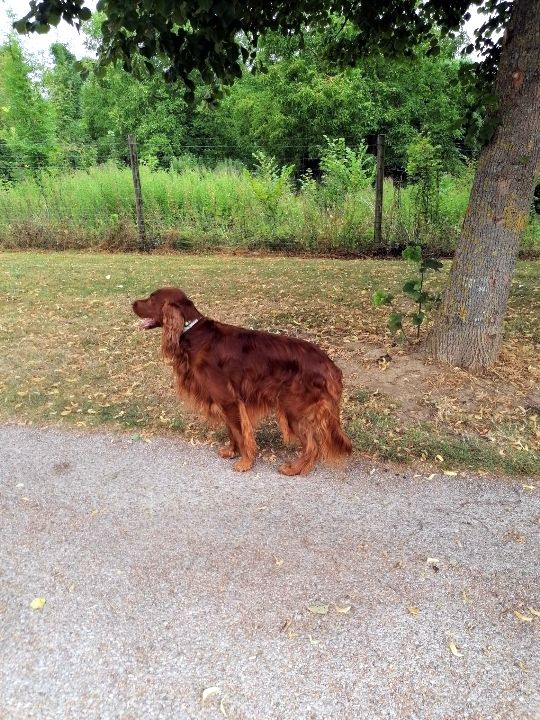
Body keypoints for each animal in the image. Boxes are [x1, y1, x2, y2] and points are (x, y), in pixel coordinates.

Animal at [133, 286, 352, 478]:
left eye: (151, 298)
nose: (132, 303)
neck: (192, 333)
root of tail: (330, 365)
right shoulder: (224, 401)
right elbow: (231, 431)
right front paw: (231, 452)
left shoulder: (228, 399)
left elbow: (239, 432)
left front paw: (245, 463)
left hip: (293, 409)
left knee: (312, 445)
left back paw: (294, 469)